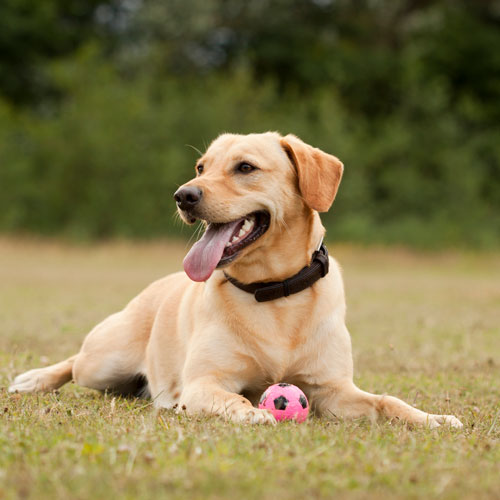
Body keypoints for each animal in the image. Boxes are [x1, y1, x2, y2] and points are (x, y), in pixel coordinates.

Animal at [8, 134, 460, 430]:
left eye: (245, 168)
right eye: (201, 167)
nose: (183, 195)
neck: (273, 294)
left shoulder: (332, 390)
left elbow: (388, 401)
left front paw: (432, 418)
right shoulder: (204, 384)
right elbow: (235, 398)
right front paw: (254, 412)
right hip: (104, 362)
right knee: (74, 363)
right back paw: (34, 379)